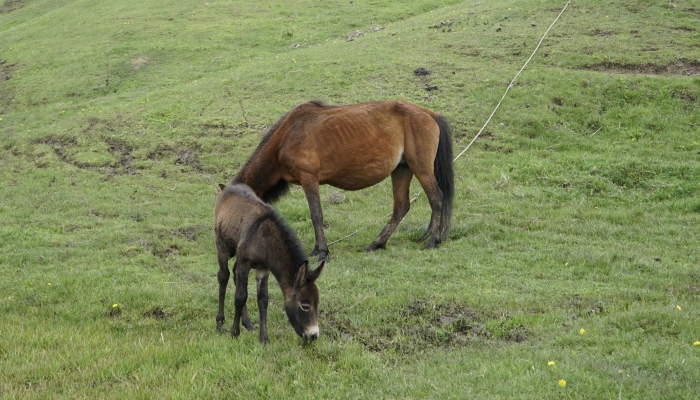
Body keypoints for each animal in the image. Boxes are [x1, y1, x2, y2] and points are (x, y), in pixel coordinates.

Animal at [213, 183, 326, 342]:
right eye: (305, 306)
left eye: (317, 303)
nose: (313, 335)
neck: (265, 240)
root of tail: (229, 187)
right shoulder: (244, 264)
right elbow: (240, 296)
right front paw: (234, 332)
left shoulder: (263, 268)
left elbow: (263, 300)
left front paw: (263, 338)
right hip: (221, 245)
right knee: (224, 276)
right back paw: (220, 322)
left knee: (234, 275)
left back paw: (247, 323)